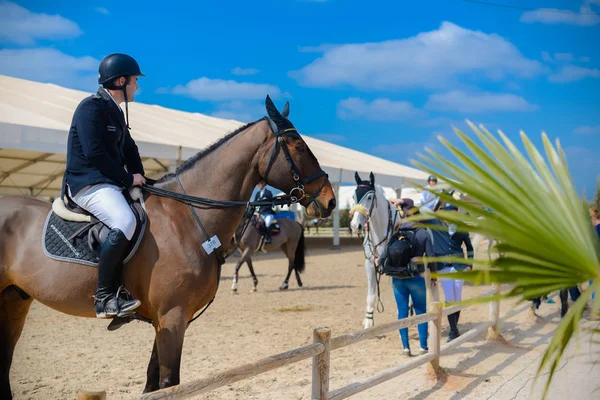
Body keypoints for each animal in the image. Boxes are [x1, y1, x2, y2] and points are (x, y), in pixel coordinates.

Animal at [0, 96, 336, 396]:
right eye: (299, 147)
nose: (330, 200)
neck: (188, 217)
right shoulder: (172, 318)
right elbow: (169, 384)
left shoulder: (166, 320)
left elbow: (153, 385)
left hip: (14, 300)